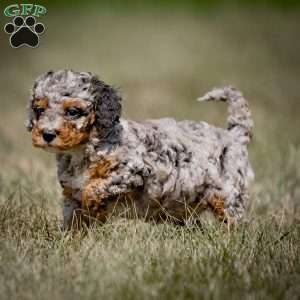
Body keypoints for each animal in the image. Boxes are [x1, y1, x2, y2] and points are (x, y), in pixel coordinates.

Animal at [27, 70, 253, 229]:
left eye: (73, 111)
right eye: (39, 109)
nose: (47, 134)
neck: (82, 151)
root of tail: (234, 135)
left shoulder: (132, 172)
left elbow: (94, 189)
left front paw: (95, 211)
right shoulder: (71, 192)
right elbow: (72, 223)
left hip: (227, 194)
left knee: (233, 222)